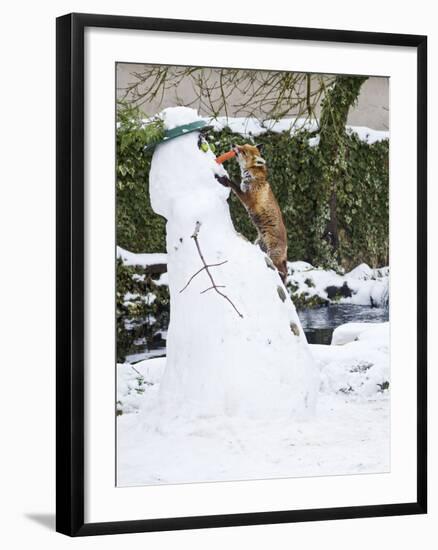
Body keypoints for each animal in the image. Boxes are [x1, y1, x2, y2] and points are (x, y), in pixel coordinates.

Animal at [215, 142, 290, 284]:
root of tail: (286, 248)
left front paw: (224, 180)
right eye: (242, 144)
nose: (233, 144)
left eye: (244, 152)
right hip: (259, 245)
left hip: (273, 255)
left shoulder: (248, 199)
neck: (253, 177)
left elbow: (234, 185)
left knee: (282, 272)